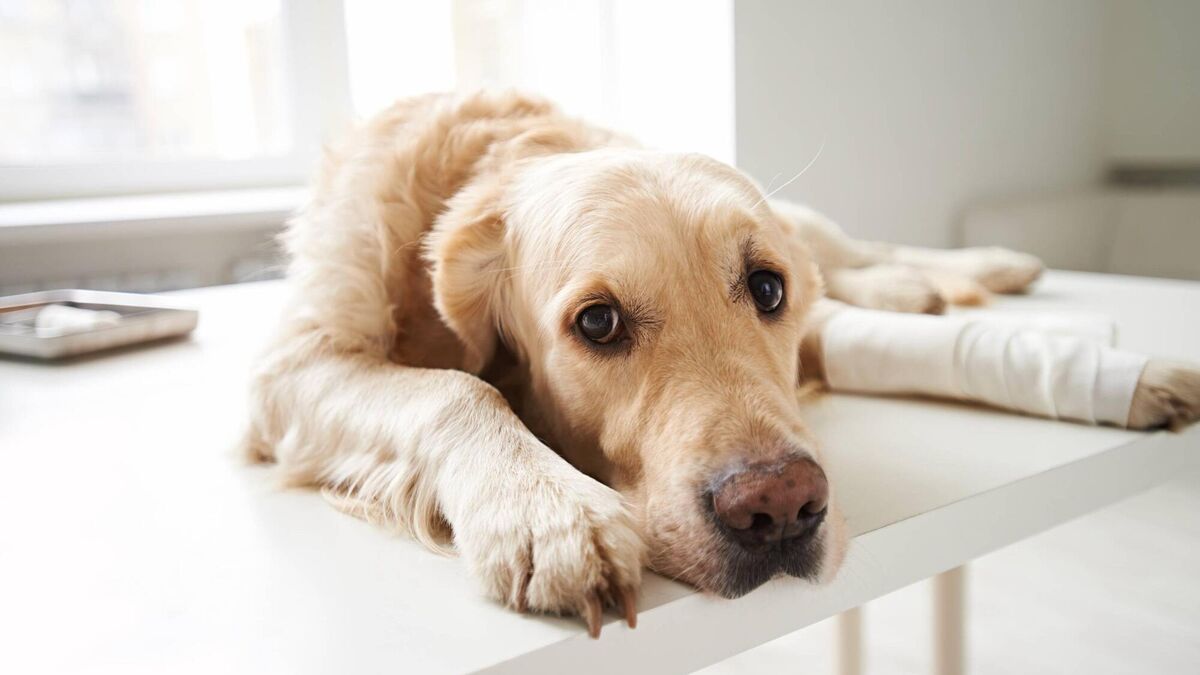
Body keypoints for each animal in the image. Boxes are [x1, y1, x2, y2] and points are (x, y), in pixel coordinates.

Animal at [244, 92, 1200, 637]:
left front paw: (1132, 375)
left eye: (766, 288)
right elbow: (455, 386)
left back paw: (983, 267)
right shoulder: (292, 368)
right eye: (598, 321)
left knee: (853, 250)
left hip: (811, 226)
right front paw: (547, 509)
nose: (781, 508)